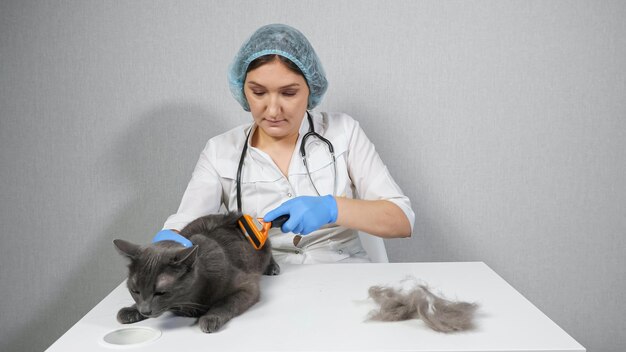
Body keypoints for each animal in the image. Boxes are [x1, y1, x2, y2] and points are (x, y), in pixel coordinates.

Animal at [112, 212, 278, 332]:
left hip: (261, 249)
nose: (145, 311)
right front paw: (130, 310)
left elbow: (225, 303)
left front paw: (210, 318)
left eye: (160, 293)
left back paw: (273, 267)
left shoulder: (247, 286)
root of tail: (235, 216)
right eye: (135, 291)